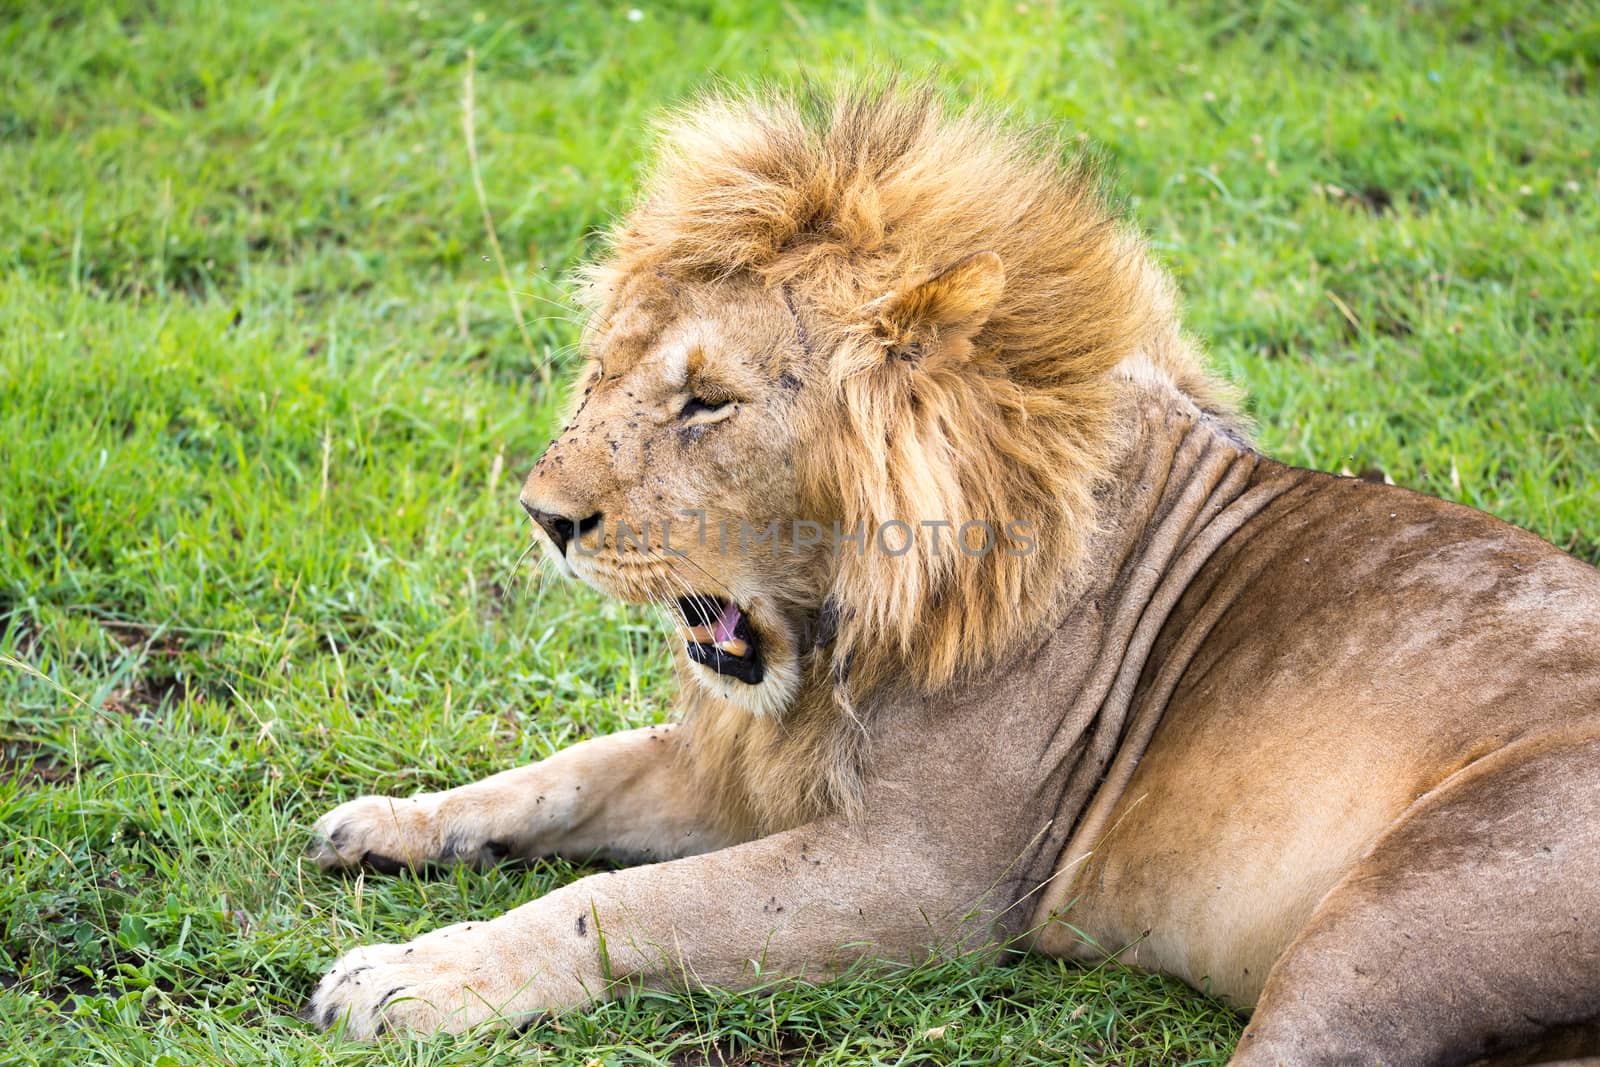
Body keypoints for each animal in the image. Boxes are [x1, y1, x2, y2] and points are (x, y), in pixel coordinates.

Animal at [302, 87, 1600, 1062]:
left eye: (706, 400)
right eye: (603, 370)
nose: (544, 517)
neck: (845, 635)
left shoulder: (929, 875)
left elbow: (618, 903)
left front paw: (410, 977)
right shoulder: (766, 772)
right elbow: (570, 772)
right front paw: (392, 823)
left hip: (1382, 926)